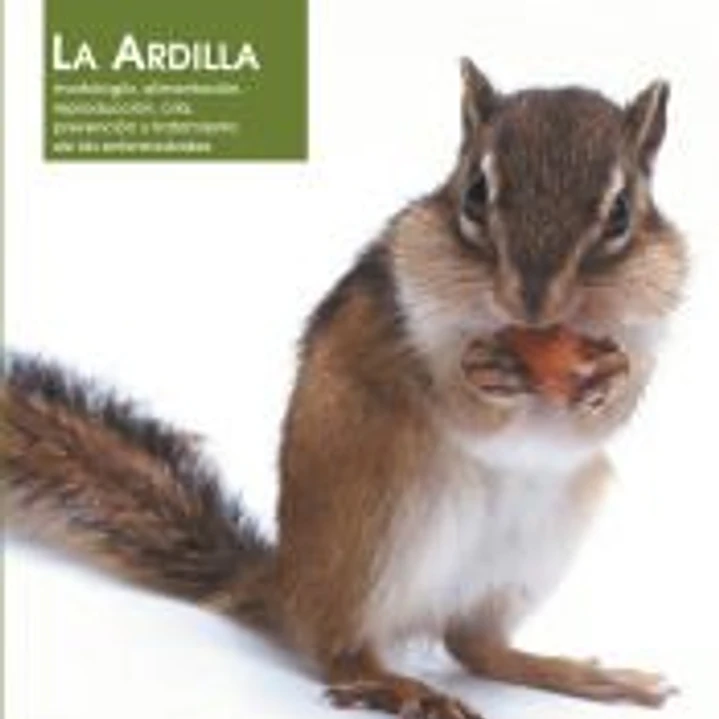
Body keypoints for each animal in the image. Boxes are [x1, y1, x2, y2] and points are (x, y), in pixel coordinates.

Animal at [2, 59, 688, 719]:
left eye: (620, 213)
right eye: (475, 193)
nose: (534, 304)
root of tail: (287, 586)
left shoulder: (653, 330)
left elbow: (615, 405)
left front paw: (610, 379)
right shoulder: (410, 316)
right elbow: (457, 397)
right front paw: (481, 373)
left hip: (537, 544)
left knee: (475, 645)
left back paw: (582, 676)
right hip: (378, 521)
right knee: (342, 652)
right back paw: (399, 687)